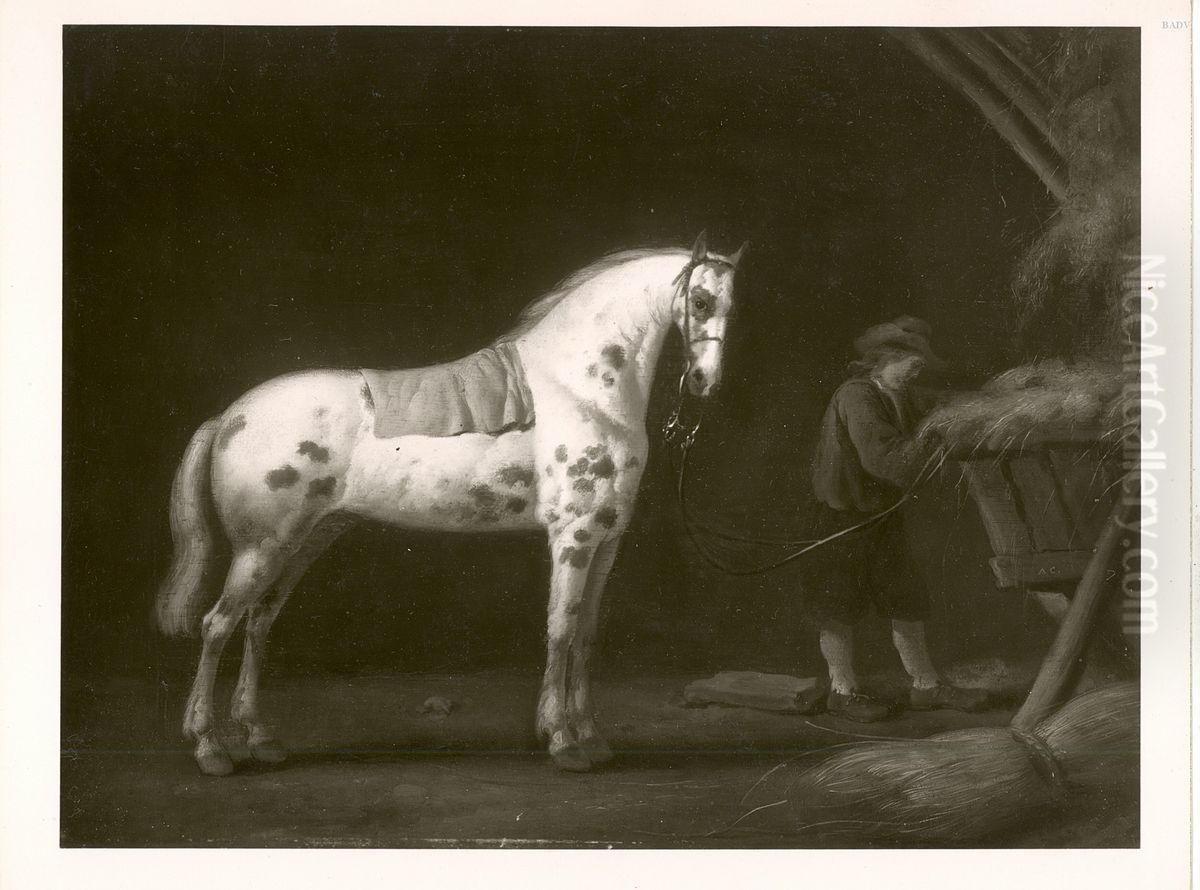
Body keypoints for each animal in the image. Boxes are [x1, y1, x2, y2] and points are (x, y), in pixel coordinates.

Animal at [156, 232, 744, 775]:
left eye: (731, 304)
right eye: (699, 301)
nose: (705, 381)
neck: (580, 390)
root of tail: (231, 416)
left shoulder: (607, 539)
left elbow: (586, 635)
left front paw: (592, 737)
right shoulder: (572, 537)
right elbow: (560, 629)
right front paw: (562, 741)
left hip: (305, 541)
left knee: (258, 624)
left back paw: (261, 738)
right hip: (262, 547)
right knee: (217, 625)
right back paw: (210, 748)